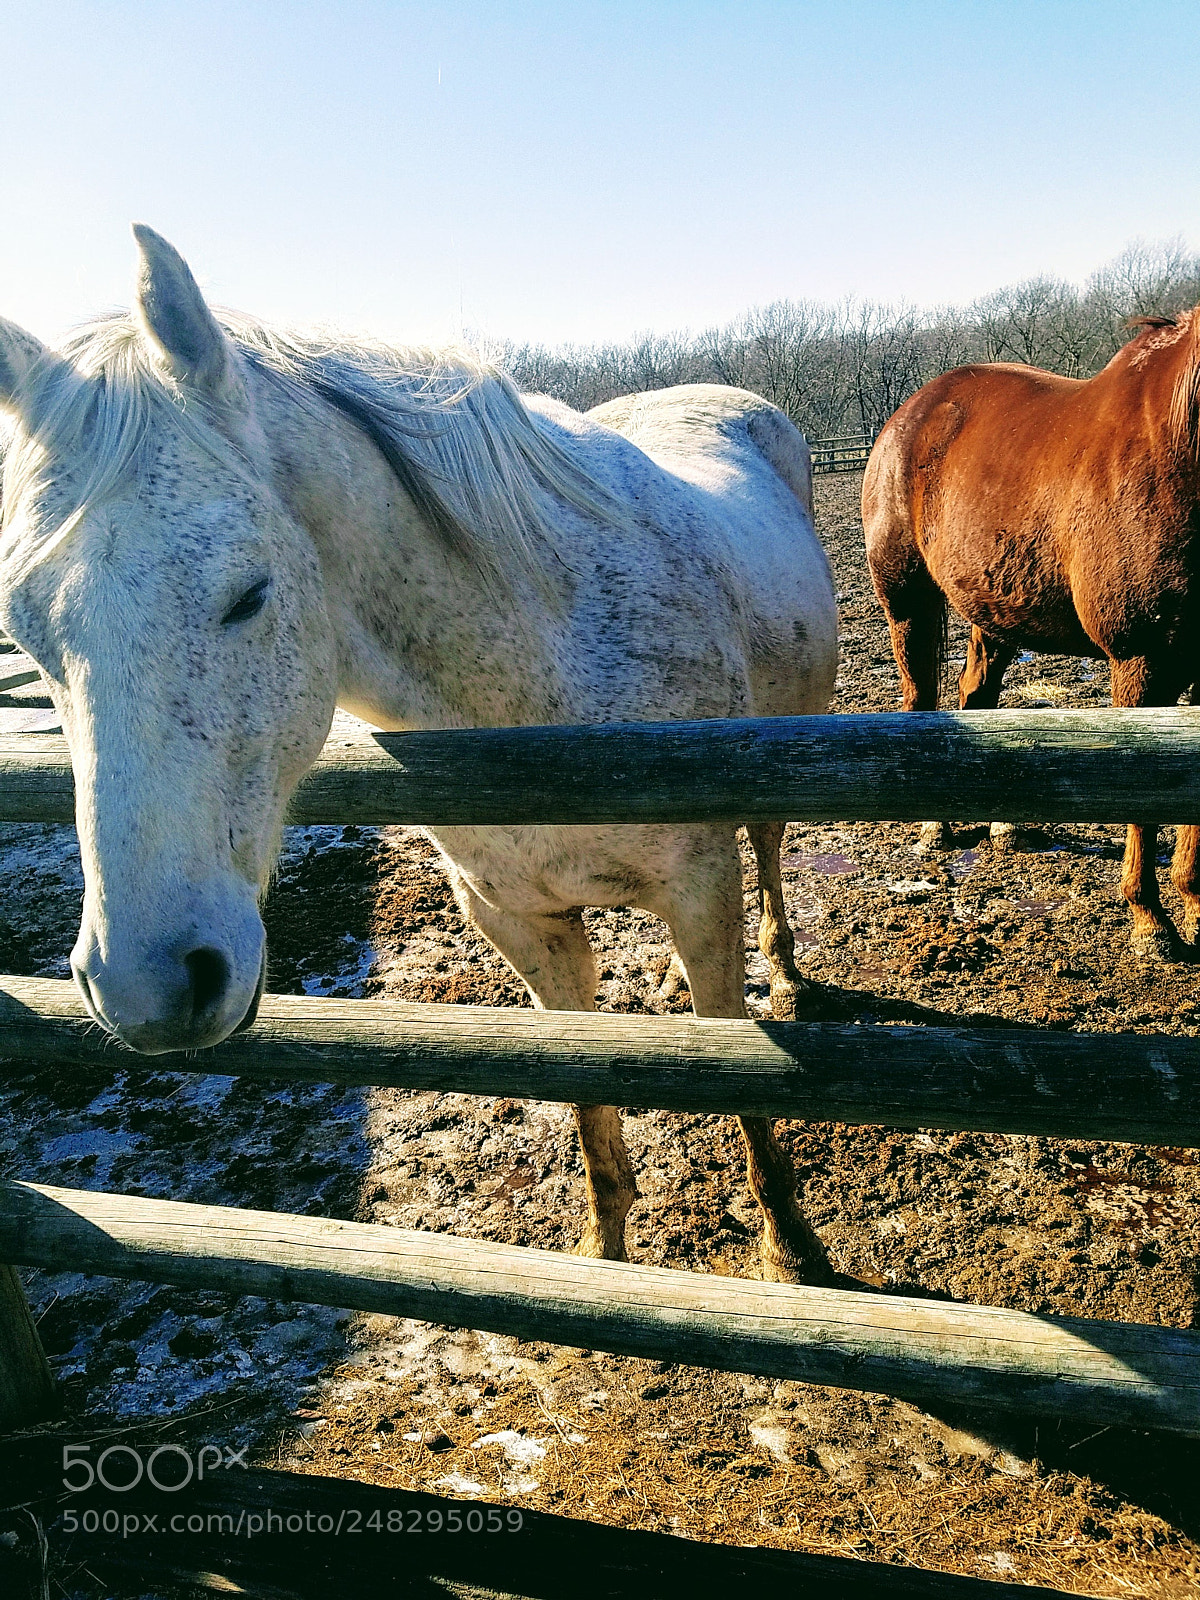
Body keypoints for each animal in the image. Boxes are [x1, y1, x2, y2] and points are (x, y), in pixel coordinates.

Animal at [0, 226, 839, 1285]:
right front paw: (602, 1251)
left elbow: (743, 1076)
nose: (147, 990)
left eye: (248, 593)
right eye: (24, 634)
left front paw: (790, 1250)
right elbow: (585, 1096)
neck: (537, 676)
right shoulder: (521, 922)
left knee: (770, 847)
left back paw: (788, 973)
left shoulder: (700, 893)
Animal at [862, 314, 1200, 958]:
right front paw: (1150, 920)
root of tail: (908, 413)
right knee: (922, 700)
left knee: (977, 699)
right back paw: (934, 826)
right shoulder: (1140, 659)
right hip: (908, 602)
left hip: (994, 608)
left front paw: (1193, 901)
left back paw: (1003, 822)